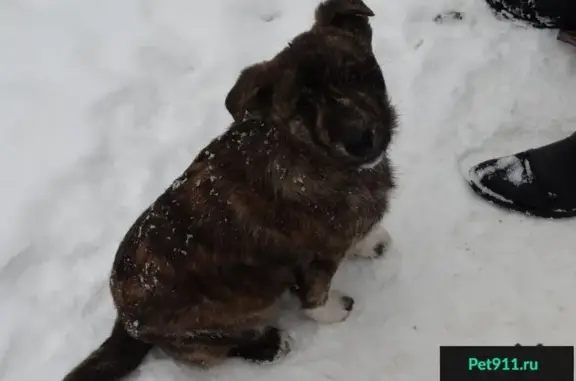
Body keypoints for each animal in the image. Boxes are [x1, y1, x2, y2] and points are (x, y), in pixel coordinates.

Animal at [62, 1, 396, 378]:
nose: (360, 140)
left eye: (353, 75)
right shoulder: (307, 262)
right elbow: (314, 296)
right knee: (219, 348)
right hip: (211, 329)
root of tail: (125, 323)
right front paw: (331, 310)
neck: (311, 157)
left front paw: (368, 242)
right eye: (303, 107)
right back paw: (269, 344)